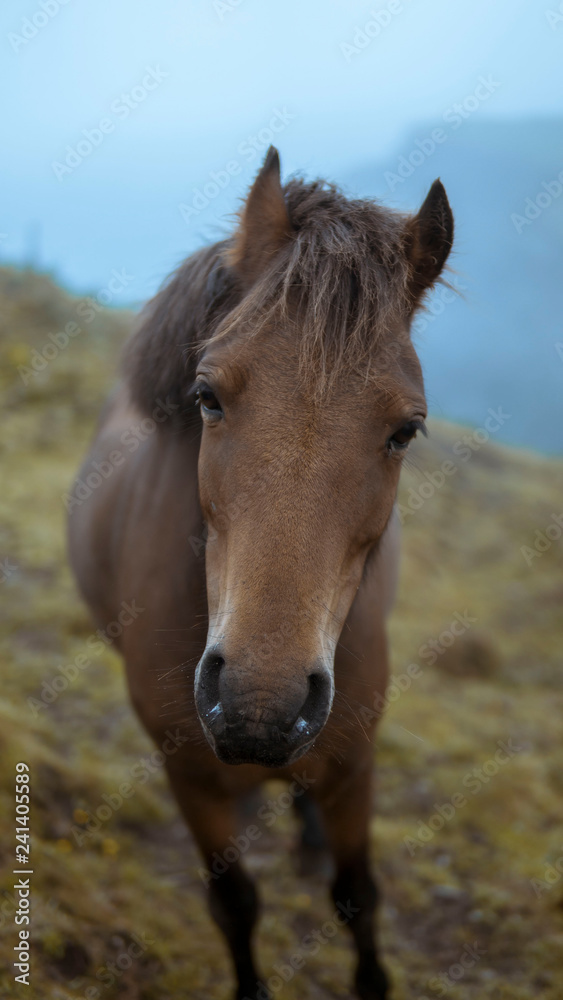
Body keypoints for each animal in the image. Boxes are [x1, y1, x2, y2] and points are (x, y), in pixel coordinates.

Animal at [68, 147, 453, 1000]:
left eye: (405, 430)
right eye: (207, 396)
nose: (259, 706)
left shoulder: (353, 765)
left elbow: (356, 895)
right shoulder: (189, 776)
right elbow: (235, 903)